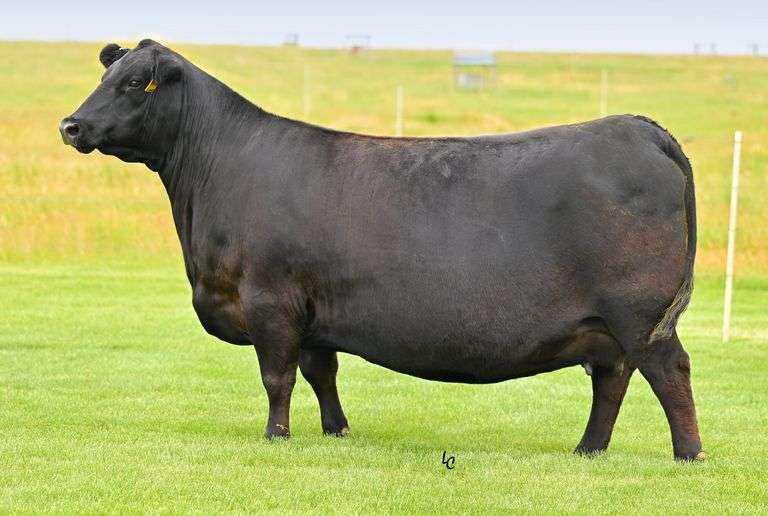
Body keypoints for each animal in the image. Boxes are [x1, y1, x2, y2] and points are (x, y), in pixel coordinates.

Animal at [60, 40, 704, 460]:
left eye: (134, 83)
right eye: (104, 76)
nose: (70, 125)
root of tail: (637, 127)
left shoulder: (270, 298)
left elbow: (277, 376)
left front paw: (276, 436)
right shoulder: (314, 310)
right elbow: (321, 371)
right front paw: (336, 431)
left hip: (640, 314)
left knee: (667, 370)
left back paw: (688, 453)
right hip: (608, 325)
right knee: (611, 378)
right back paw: (588, 449)